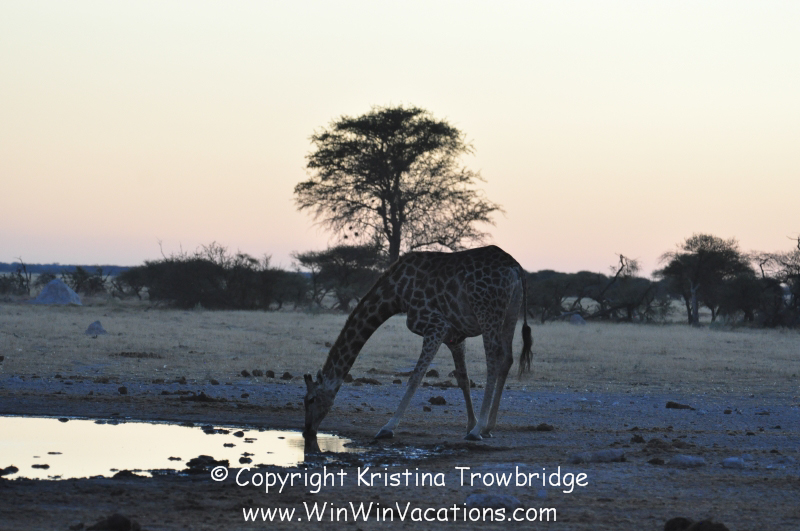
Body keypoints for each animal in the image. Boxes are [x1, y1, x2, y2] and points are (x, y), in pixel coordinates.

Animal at [303, 245, 533, 441]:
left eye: (311, 399)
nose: (308, 431)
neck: (396, 293)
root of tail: (515, 267)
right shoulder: (454, 337)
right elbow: (463, 380)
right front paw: (470, 423)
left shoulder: (435, 326)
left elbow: (415, 378)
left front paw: (388, 428)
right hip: (511, 312)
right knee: (507, 358)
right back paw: (487, 427)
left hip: (488, 311)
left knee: (494, 357)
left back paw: (479, 431)